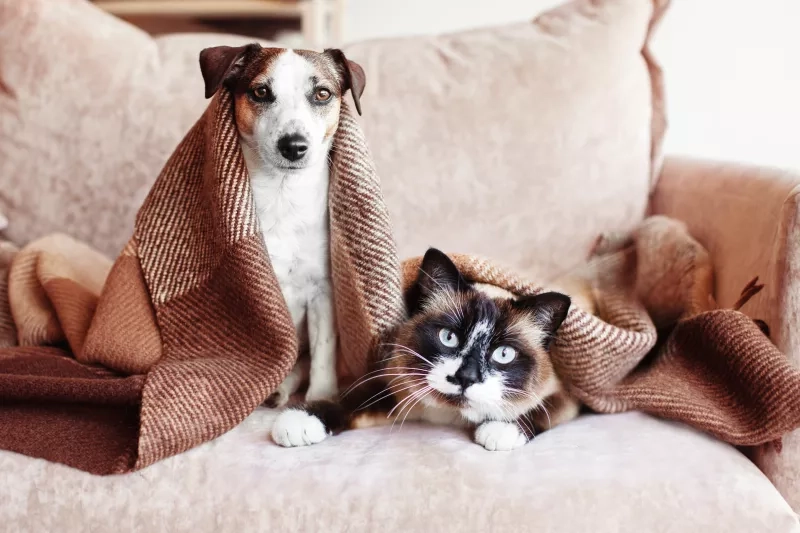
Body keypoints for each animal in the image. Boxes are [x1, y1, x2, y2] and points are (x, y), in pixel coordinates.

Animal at [199, 43, 366, 406]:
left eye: (322, 93)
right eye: (261, 92)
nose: (293, 146)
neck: (282, 194)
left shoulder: (322, 292)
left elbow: (322, 354)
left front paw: (320, 398)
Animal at [270, 245, 580, 448]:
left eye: (503, 354)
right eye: (448, 337)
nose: (466, 377)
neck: (450, 415)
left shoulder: (566, 395)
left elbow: (539, 409)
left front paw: (498, 431)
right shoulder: (393, 389)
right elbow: (349, 399)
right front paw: (299, 421)